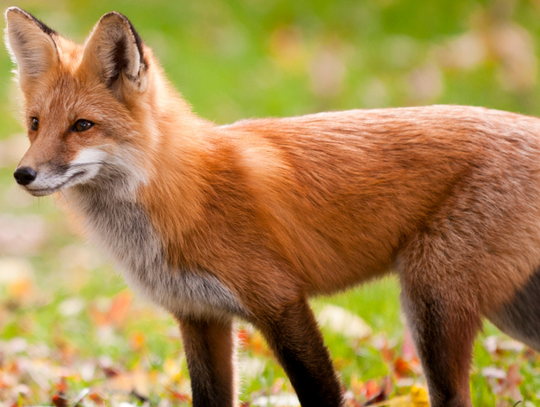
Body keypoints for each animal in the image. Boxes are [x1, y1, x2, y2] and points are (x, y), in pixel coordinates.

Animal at [4, 6, 540, 407]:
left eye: (82, 126)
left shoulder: (280, 301)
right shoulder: (199, 316)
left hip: (432, 305)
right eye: (34, 124)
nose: (23, 174)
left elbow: (321, 394)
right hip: (508, 312)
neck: (182, 195)